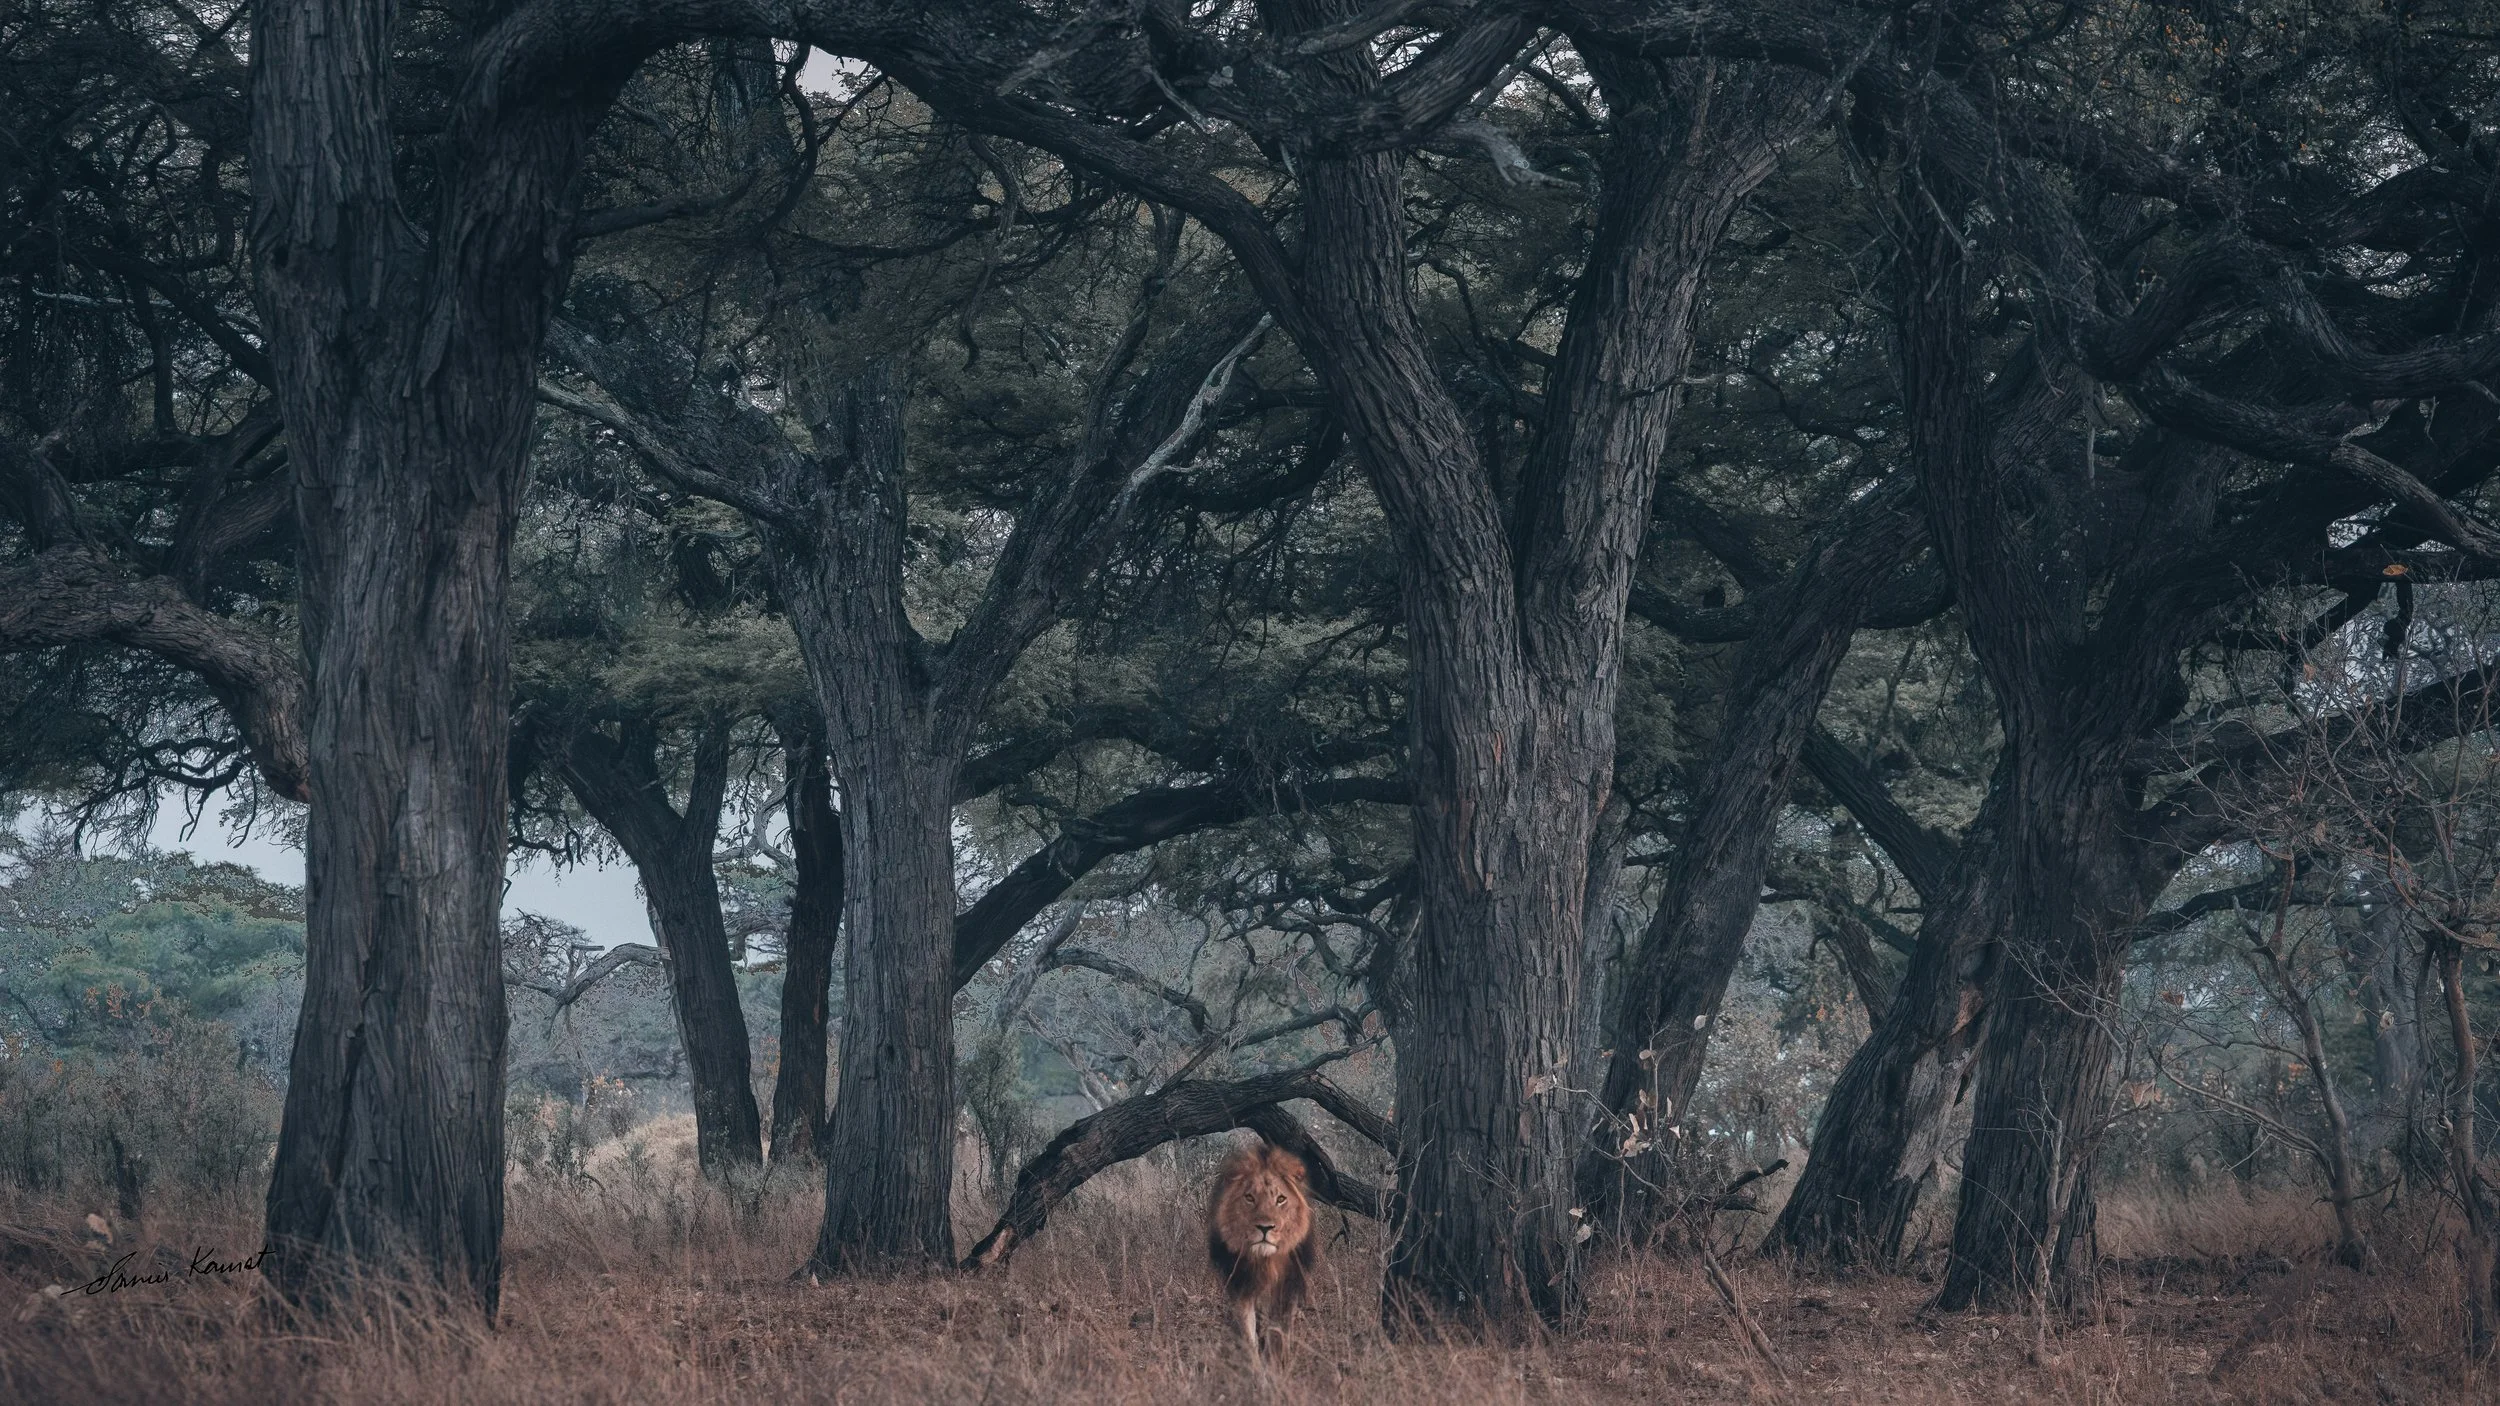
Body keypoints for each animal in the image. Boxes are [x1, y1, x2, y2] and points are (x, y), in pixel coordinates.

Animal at [1205, 1138, 1319, 1365]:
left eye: (1281, 1199)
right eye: (1249, 1198)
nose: (1265, 1228)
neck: (1266, 1260)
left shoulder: (1288, 1287)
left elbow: (1279, 1331)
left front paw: (1276, 1362)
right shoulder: (1241, 1285)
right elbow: (1249, 1334)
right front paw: (1256, 1368)